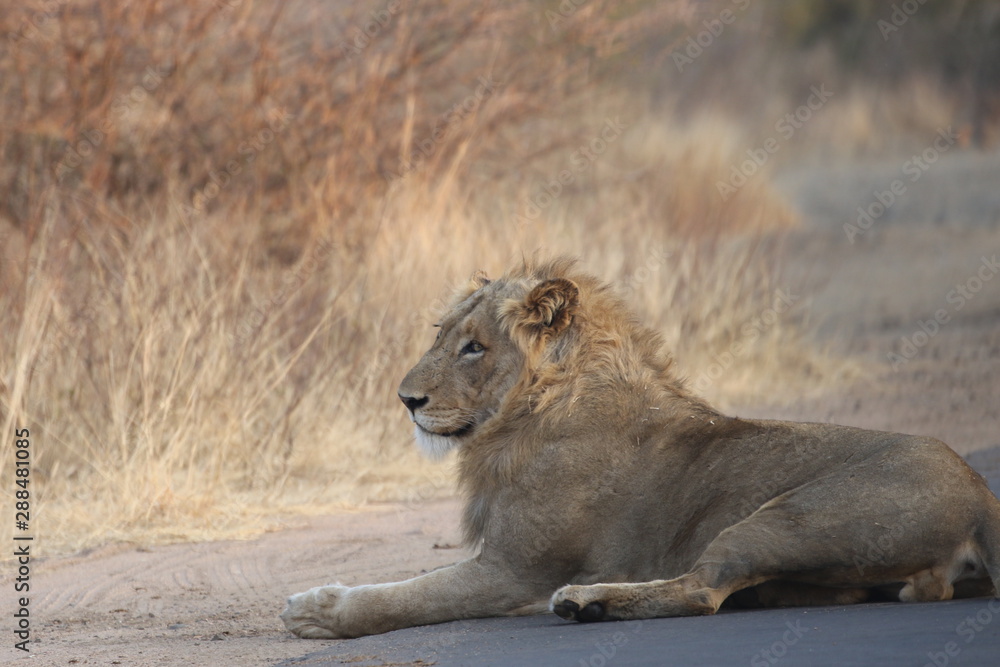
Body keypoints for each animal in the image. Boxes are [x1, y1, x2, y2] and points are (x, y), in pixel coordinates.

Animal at [281, 258, 1000, 639]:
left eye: (474, 347)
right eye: (442, 334)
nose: (406, 399)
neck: (525, 415)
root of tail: (981, 492)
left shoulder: (514, 568)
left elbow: (407, 595)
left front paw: (317, 610)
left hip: (785, 517)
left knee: (704, 589)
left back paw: (586, 601)